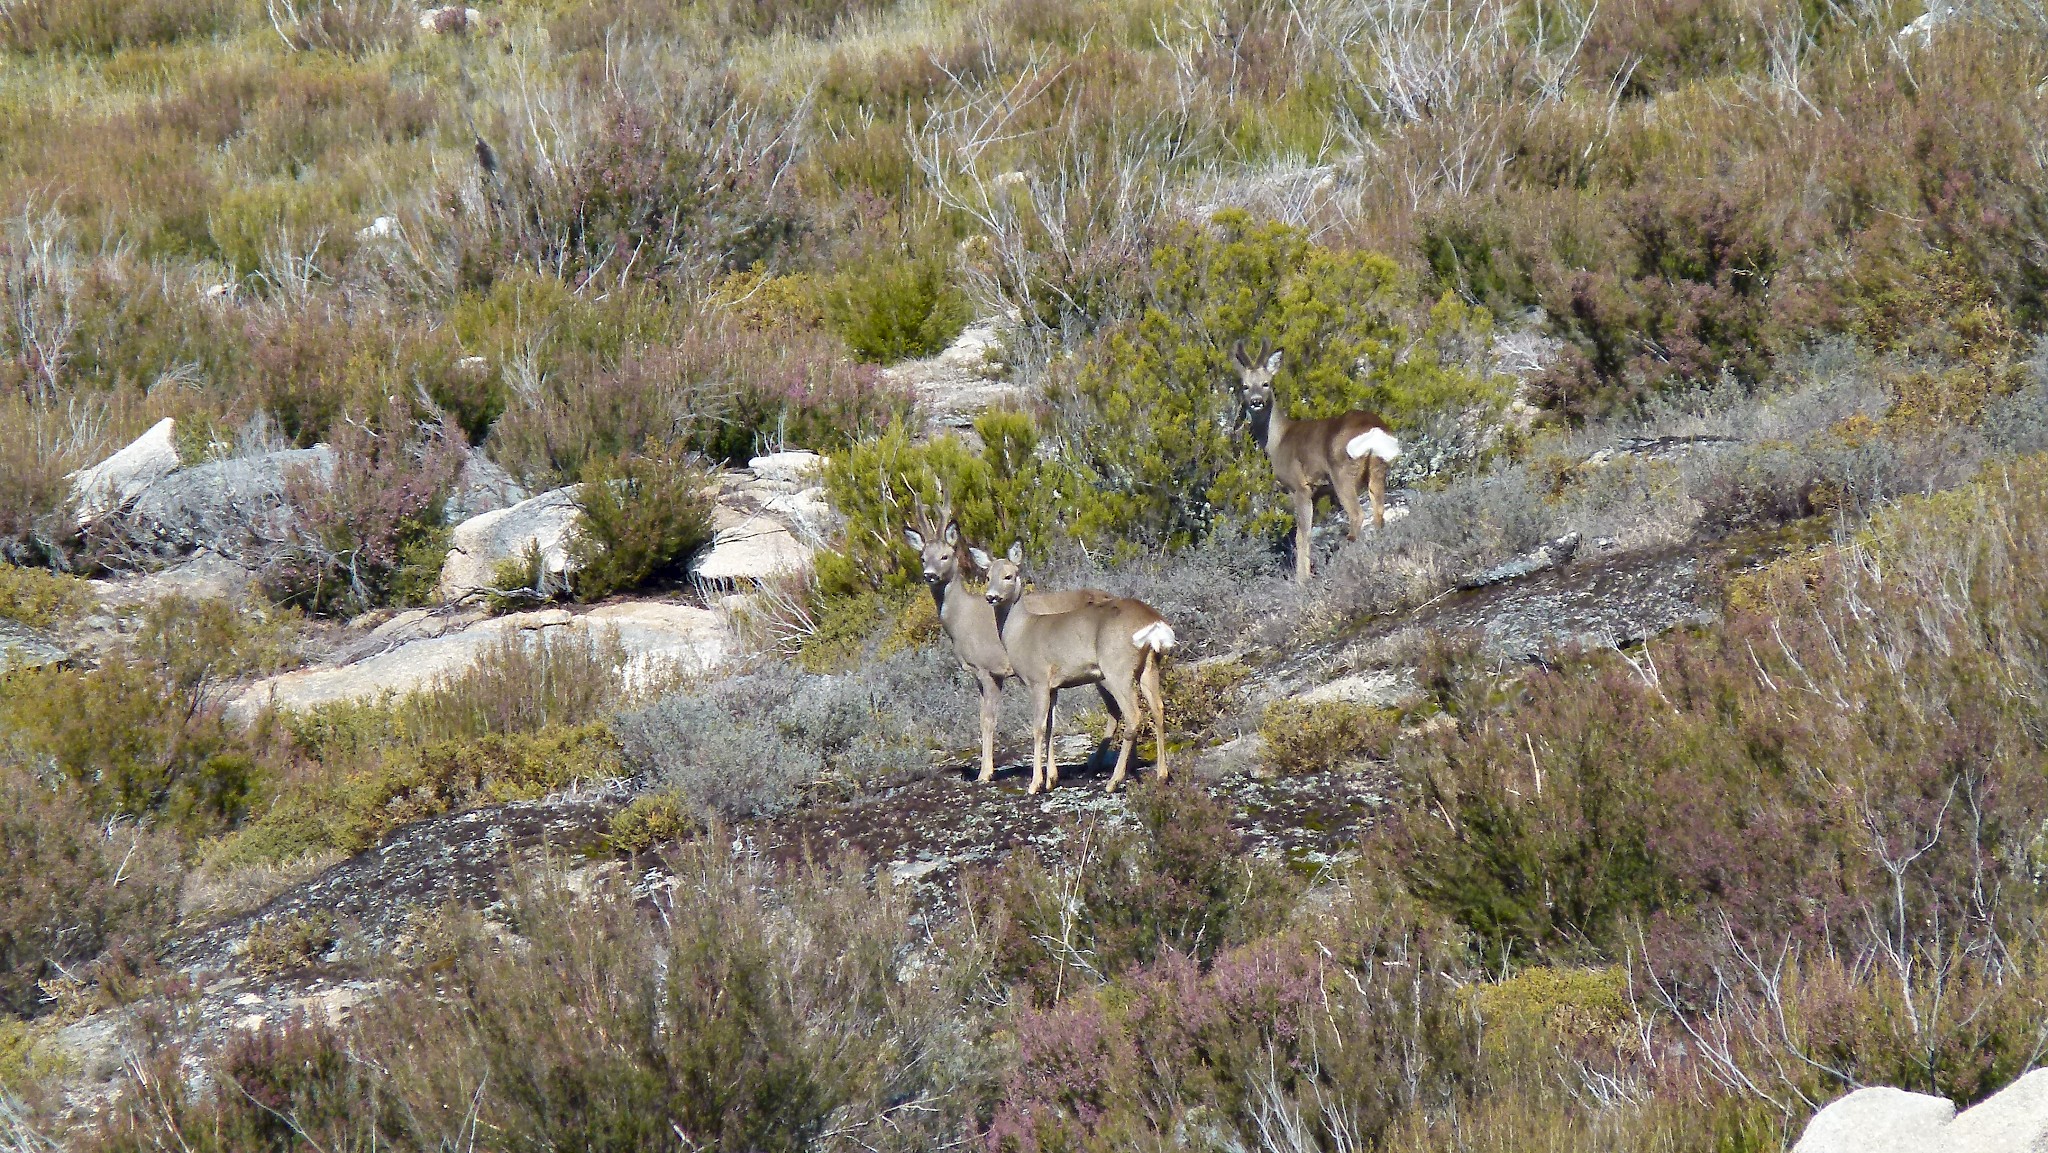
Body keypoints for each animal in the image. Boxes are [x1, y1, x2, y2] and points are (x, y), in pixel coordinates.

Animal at [977, 543, 1174, 794]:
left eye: (1008, 576)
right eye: (987, 576)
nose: (991, 597)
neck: (1021, 631)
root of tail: (1154, 622)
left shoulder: (1038, 680)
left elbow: (1038, 728)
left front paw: (1035, 783)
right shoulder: (1054, 687)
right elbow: (1051, 727)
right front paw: (1051, 780)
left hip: (1117, 669)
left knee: (1133, 715)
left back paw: (1113, 781)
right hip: (1149, 666)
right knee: (1158, 709)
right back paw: (1161, 775)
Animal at [1231, 338, 1402, 582]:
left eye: (1266, 383)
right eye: (1245, 386)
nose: (1255, 402)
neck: (1278, 440)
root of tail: (1375, 429)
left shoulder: (1299, 486)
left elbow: (1301, 536)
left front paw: (1301, 580)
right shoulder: (1319, 490)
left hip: (1342, 473)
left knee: (1357, 515)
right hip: (1378, 469)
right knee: (1378, 515)